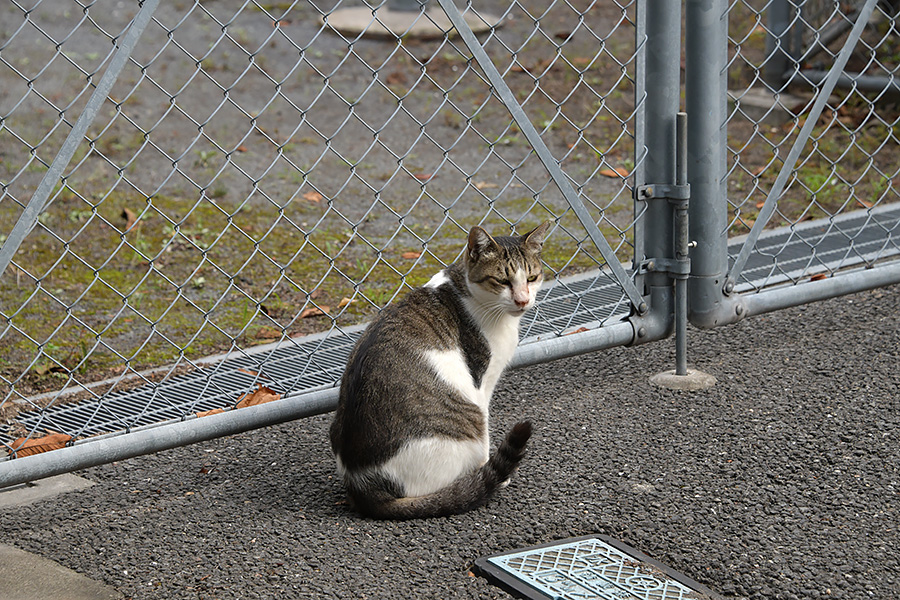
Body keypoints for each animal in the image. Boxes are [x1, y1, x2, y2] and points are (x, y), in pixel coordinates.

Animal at [328, 221, 548, 520]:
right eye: (502, 281)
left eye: (532, 277)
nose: (523, 301)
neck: (464, 288)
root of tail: (365, 488)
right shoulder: (482, 383)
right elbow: (488, 440)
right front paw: (490, 472)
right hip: (469, 417)